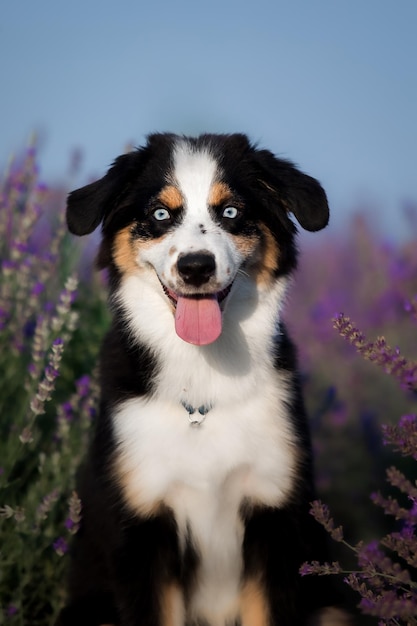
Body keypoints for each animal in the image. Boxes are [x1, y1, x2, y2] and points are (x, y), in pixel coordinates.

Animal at [58, 133, 350, 624]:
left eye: (230, 212)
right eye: (160, 214)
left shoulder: (275, 519)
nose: (196, 267)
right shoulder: (142, 529)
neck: (202, 371)